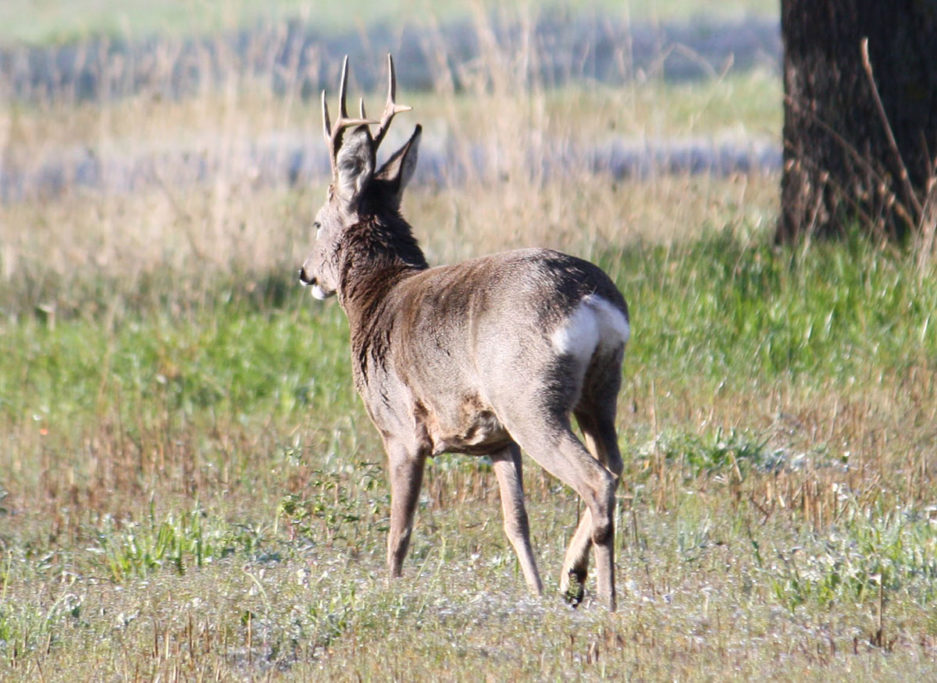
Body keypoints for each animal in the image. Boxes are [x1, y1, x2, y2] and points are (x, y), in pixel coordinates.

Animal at [300, 54, 628, 608]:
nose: (304, 274)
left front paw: (389, 594)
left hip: (529, 396)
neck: (374, 298)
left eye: (317, 223)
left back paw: (600, 597)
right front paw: (535, 590)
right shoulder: (497, 442)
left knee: (596, 479)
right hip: (600, 393)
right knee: (617, 468)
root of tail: (589, 299)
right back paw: (572, 578)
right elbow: (515, 523)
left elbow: (399, 530)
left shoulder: (400, 428)